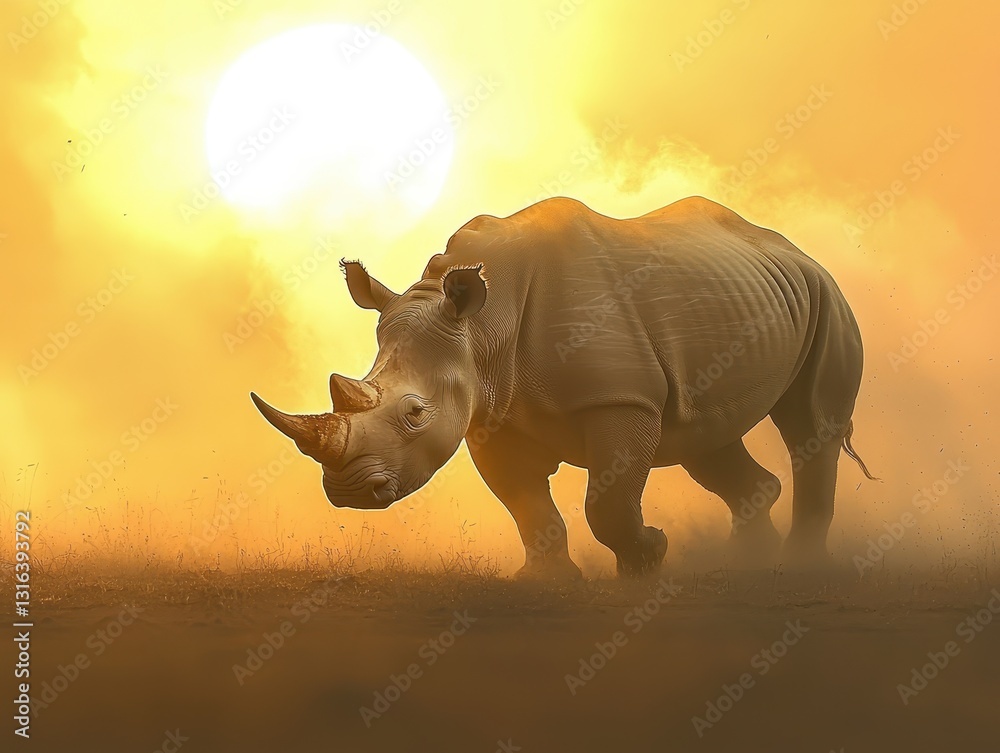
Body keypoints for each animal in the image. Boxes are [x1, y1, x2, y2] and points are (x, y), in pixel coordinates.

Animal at [251, 196, 875, 577]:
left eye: (415, 414)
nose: (348, 491)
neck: (482, 324)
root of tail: (794, 250)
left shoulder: (620, 398)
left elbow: (608, 500)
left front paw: (649, 558)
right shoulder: (491, 412)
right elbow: (525, 503)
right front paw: (546, 579)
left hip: (827, 295)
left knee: (809, 427)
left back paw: (797, 565)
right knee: (707, 437)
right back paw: (748, 564)